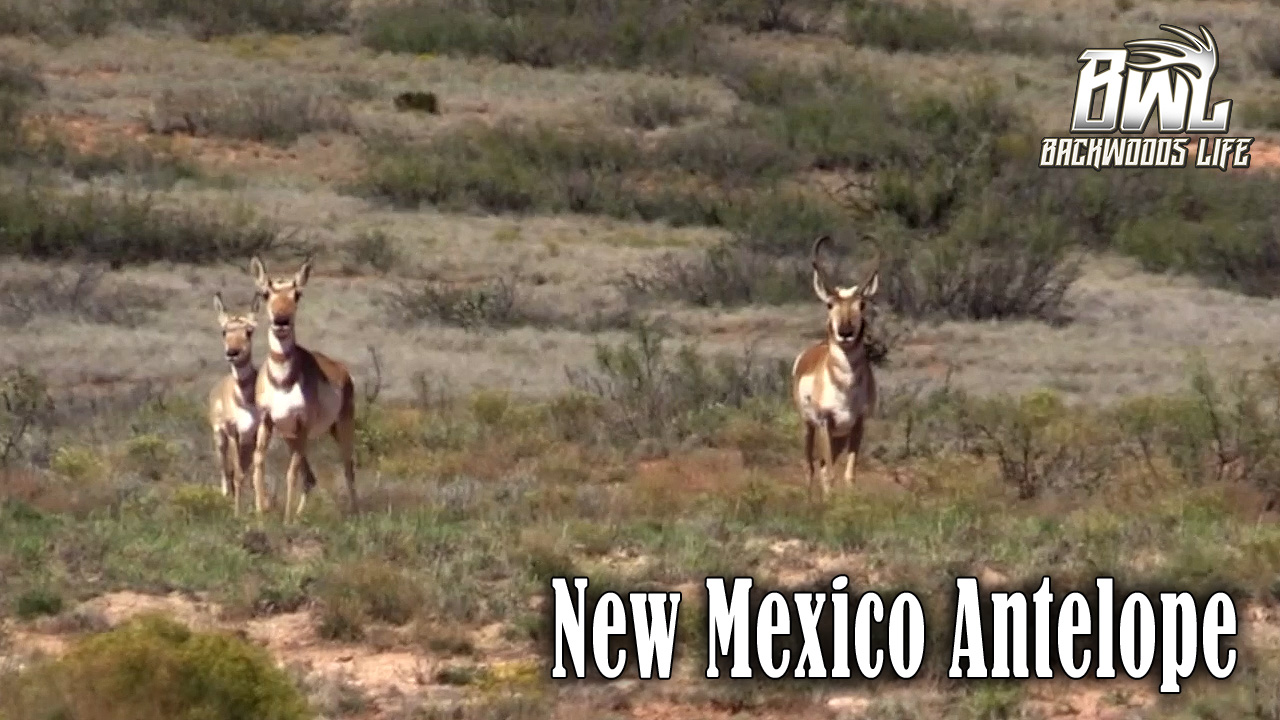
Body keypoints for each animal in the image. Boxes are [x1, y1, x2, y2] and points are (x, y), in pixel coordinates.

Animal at [247, 254, 358, 517]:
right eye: (266, 293)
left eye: (297, 294)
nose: (281, 320)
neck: (282, 382)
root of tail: (342, 370)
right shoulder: (268, 422)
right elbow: (259, 463)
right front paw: (260, 514)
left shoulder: (303, 425)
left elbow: (291, 473)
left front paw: (285, 518)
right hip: (292, 436)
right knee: (311, 477)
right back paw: (300, 516)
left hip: (340, 427)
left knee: (348, 467)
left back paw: (355, 514)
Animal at [788, 235, 880, 499]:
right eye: (830, 304)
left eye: (861, 304)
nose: (845, 332)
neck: (845, 387)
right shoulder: (824, 423)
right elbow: (829, 474)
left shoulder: (857, 424)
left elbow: (849, 475)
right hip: (809, 427)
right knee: (810, 466)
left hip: (839, 437)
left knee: (818, 466)